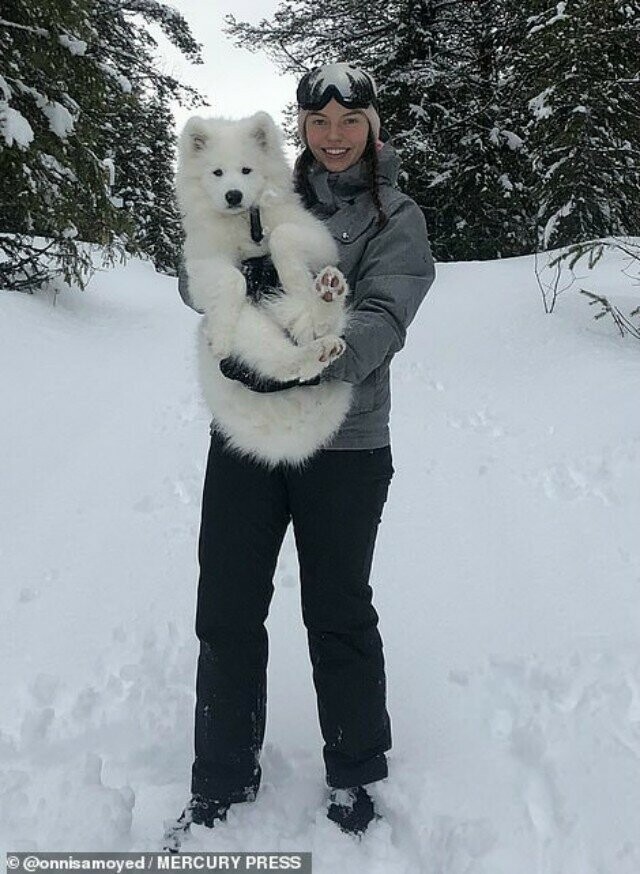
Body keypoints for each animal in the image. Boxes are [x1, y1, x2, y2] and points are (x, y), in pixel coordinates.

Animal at [175, 114, 352, 470]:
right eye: (217, 172)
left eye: (246, 170)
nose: (233, 195)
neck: (245, 223)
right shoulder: (202, 263)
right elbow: (232, 279)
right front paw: (220, 338)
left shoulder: (318, 236)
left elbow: (283, 237)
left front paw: (299, 283)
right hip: (252, 325)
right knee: (284, 363)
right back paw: (315, 351)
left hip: (284, 305)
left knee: (314, 327)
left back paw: (324, 295)